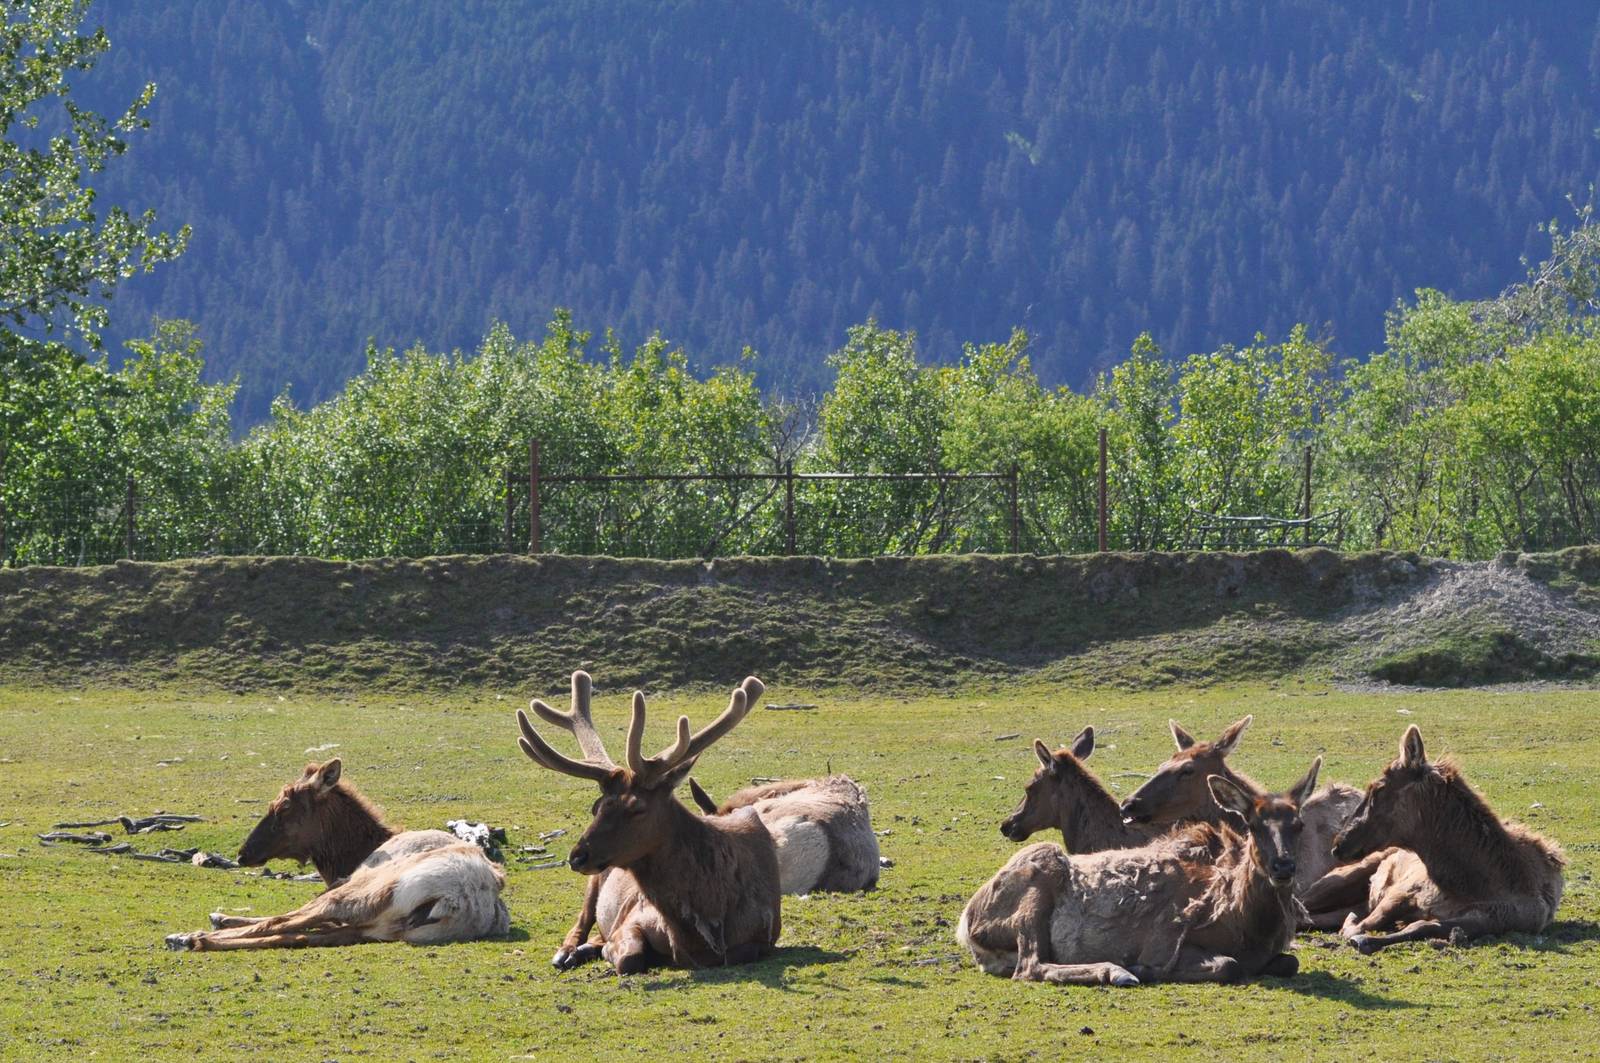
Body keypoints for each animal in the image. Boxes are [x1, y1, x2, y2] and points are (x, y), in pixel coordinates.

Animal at [165, 759, 509, 950]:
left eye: (283, 807)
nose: (243, 854)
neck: (353, 853)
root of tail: (455, 904)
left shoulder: (341, 884)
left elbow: (281, 917)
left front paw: (216, 919)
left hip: (363, 893)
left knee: (281, 923)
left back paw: (191, 938)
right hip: (375, 928)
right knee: (299, 935)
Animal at [516, 670, 782, 974]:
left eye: (636, 807)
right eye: (597, 806)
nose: (577, 856)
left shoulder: (761, 939)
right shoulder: (631, 918)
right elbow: (629, 957)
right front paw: (604, 951)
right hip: (594, 883)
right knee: (581, 922)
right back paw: (569, 952)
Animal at [958, 757, 1322, 986]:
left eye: (1299, 824)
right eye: (1253, 826)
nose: (1283, 866)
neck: (1248, 923)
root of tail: (967, 923)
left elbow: (1291, 962)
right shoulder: (1168, 941)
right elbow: (1228, 965)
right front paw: (1142, 967)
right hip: (1037, 883)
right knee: (1030, 966)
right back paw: (1117, 971)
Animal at [1317, 724, 1565, 953]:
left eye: (1377, 788)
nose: (1338, 844)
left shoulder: (1493, 919)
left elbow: (1422, 927)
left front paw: (1365, 939)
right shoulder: (1404, 889)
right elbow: (1368, 922)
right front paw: (1354, 932)